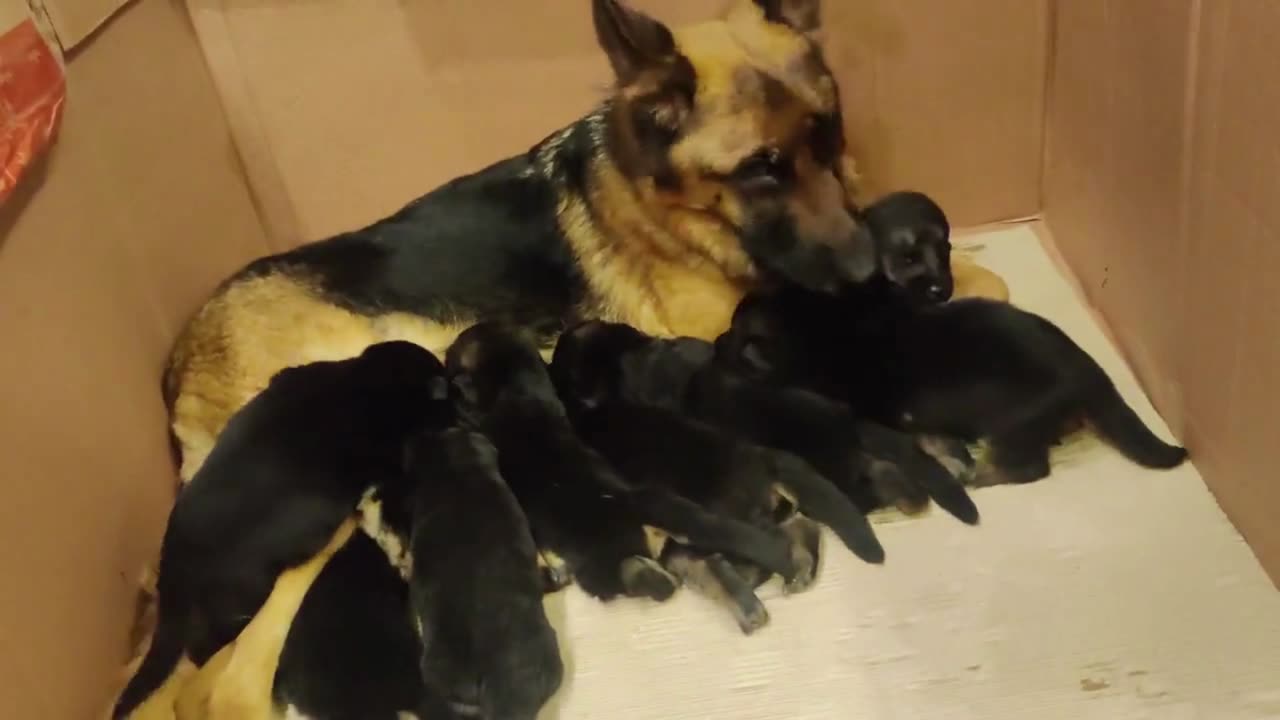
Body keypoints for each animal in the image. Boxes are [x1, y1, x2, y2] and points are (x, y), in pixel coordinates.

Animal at [721, 190, 1187, 484]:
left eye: (742, 341)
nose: (717, 343)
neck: (823, 325)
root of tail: (1085, 365)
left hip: (1013, 423)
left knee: (1030, 468)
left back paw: (981, 477)